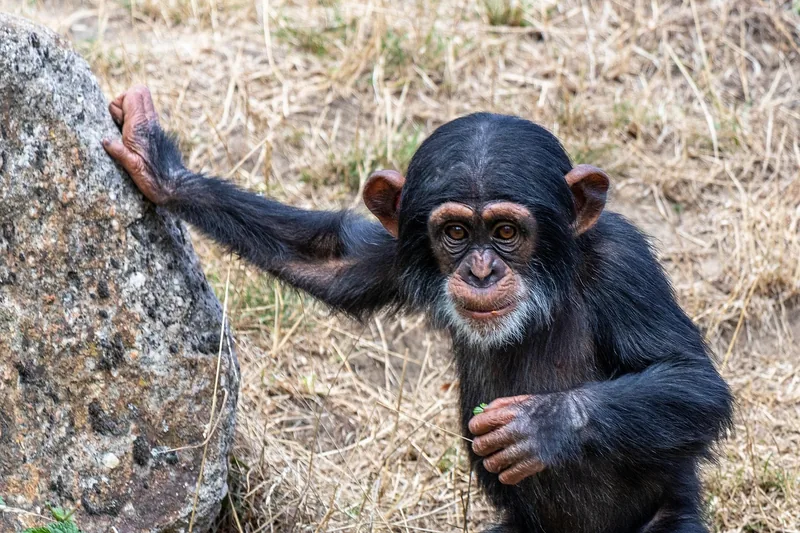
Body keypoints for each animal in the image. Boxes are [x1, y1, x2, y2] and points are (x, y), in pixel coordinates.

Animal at [103, 85, 732, 533]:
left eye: (506, 231)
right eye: (454, 232)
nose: (481, 270)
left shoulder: (624, 265)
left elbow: (694, 380)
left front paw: (542, 423)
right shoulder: (402, 244)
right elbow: (332, 261)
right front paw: (160, 166)